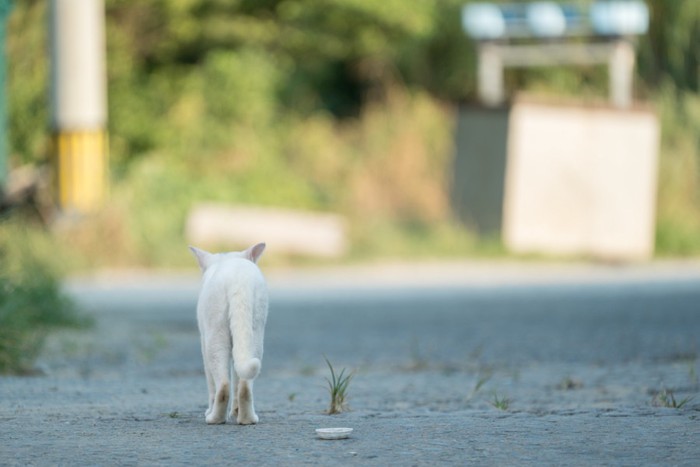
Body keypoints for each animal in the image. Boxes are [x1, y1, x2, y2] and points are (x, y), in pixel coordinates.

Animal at [189, 243, 268, 426]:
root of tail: (238, 281)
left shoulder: (203, 342)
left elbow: (211, 384)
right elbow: (237, 377)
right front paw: (235, 411)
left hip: (215, 336)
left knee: (223, 384)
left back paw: (214, 418)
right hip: (255, 333)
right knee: (244, 384)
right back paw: (247, 419)